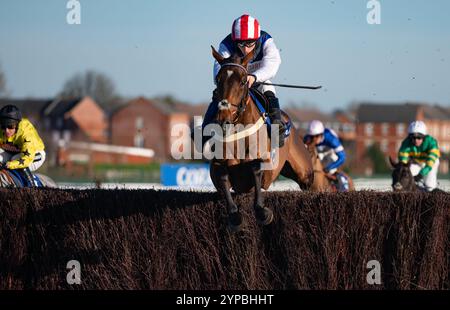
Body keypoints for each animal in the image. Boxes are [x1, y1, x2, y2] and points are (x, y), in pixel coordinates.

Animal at [207, 46, 312, 230]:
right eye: (218, 80)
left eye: (243, 81)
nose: (223, 121)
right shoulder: (217, 165)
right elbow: (223, 177)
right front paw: (234, 215)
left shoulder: (263, 161)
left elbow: (256, 169)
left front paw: (262, 211)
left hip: (305, 171)